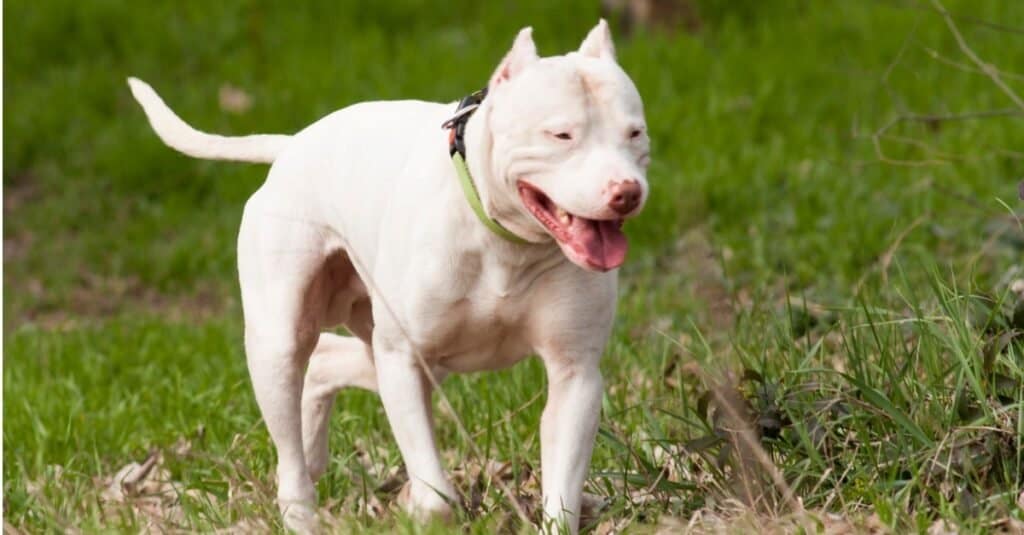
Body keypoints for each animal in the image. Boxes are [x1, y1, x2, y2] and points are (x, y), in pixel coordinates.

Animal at [125, 18, 647, 528]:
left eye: (635, 134)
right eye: (561, 135)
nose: (627, 191)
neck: (504, 241)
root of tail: (293, 146)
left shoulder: (575, 374)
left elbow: (561, 491)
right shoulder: (403, 357)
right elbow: (436, 495)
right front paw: (421, 506)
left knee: (326, 362)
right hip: (281, 339)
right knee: (291, 416)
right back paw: (300, 503)